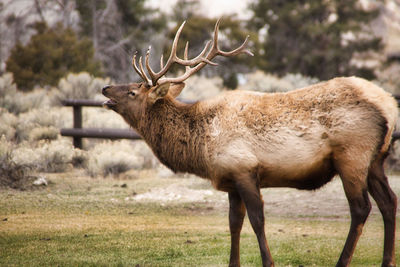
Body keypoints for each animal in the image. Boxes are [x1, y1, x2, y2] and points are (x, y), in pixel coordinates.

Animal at [102, 19, 396, 267]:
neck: (201, 145)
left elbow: (257, 220)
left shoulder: (244, 169)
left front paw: (269, 262)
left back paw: (343, 261)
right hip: (376, 161)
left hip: (352, 156)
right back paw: (388, 261)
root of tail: (390, 107)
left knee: (361, 208)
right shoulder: (230, 178)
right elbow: (234, 223)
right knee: (389, 202)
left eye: (133, 91)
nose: (105, 89)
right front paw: (234, 263)